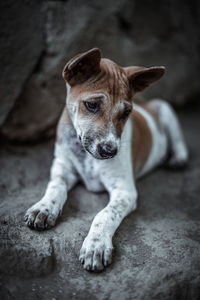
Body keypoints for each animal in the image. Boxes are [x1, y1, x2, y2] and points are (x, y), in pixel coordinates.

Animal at [24, 47, 188, 272]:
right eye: (92, 105)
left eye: (127, 113)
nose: (110, 151)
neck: (85, 153)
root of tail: (146, 102)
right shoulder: (62, 166)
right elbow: (55, 186)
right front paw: (44, 207)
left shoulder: (124, 191)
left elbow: (104, 214)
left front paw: (96, 245)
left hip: (165, 109)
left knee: (178, 139)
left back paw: (178, 158)